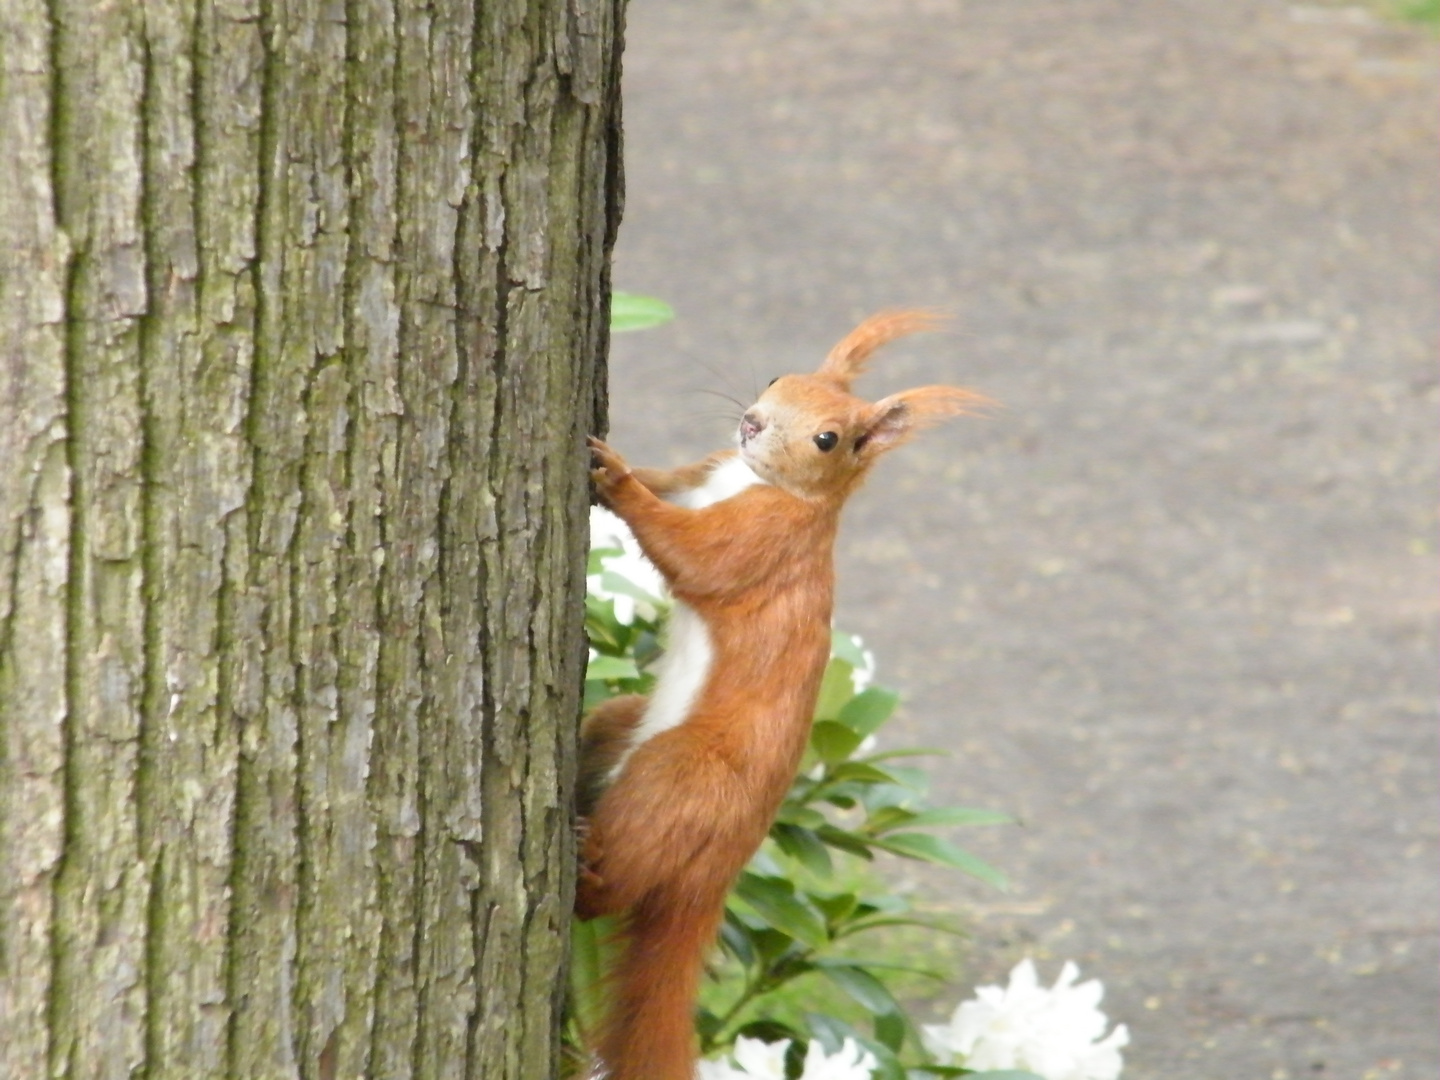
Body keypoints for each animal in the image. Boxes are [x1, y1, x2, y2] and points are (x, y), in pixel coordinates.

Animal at [573, 311, 990, 1080]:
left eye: (829, 438)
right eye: (776, 377)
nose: (753, 423)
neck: (755, 482)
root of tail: (713, 881)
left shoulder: (759, 544)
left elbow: (688, 553)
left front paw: (613, 476)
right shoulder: (699, 474)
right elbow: (667, 480)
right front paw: (623, 465)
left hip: (677, 777)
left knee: (615, 888)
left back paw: (584, 869)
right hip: (617, 723)